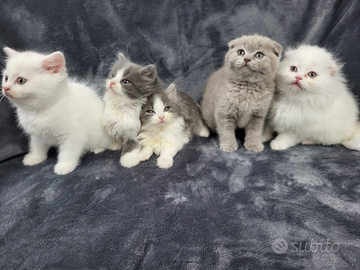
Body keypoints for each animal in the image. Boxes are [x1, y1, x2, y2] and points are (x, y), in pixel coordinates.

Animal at [1, 47, 116, 175]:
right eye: (6, 78)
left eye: (21, 80)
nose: (5, 88)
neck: (41, 110)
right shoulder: (37, 134)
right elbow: (36, 146)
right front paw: (35, 158)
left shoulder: (74, 135)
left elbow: (69, 152)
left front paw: (65, 166)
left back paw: (97, 148)